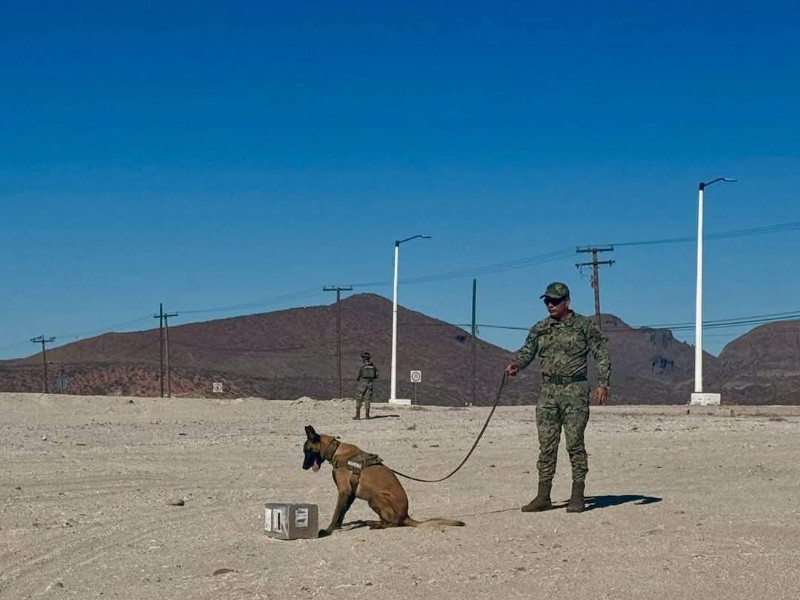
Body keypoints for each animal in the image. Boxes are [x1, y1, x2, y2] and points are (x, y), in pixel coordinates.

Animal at [304, 424, 466, 536]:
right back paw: (373, 521)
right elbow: (342, 512)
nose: (303, 467)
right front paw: (338, 526)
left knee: (393, 524)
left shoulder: (344, 491)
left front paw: (329, 530)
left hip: (374, 498)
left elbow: (337, 512)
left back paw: (378, 525)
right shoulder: (350, 494)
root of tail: (406, 515)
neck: (336, 450)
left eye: (306, 451)